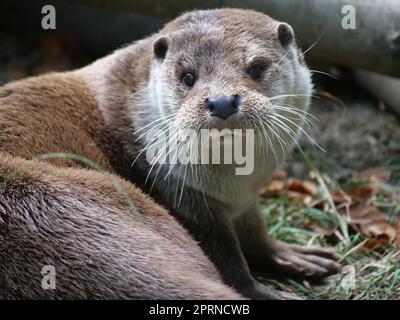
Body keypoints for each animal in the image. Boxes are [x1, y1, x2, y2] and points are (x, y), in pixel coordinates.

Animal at [0, 9, 340, 300]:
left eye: (256, 68)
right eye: (188, 77)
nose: (221, 101)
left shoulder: (243, 201)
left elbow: (255, 230)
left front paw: (291, 254)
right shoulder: (189, 202)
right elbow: (231, 263)